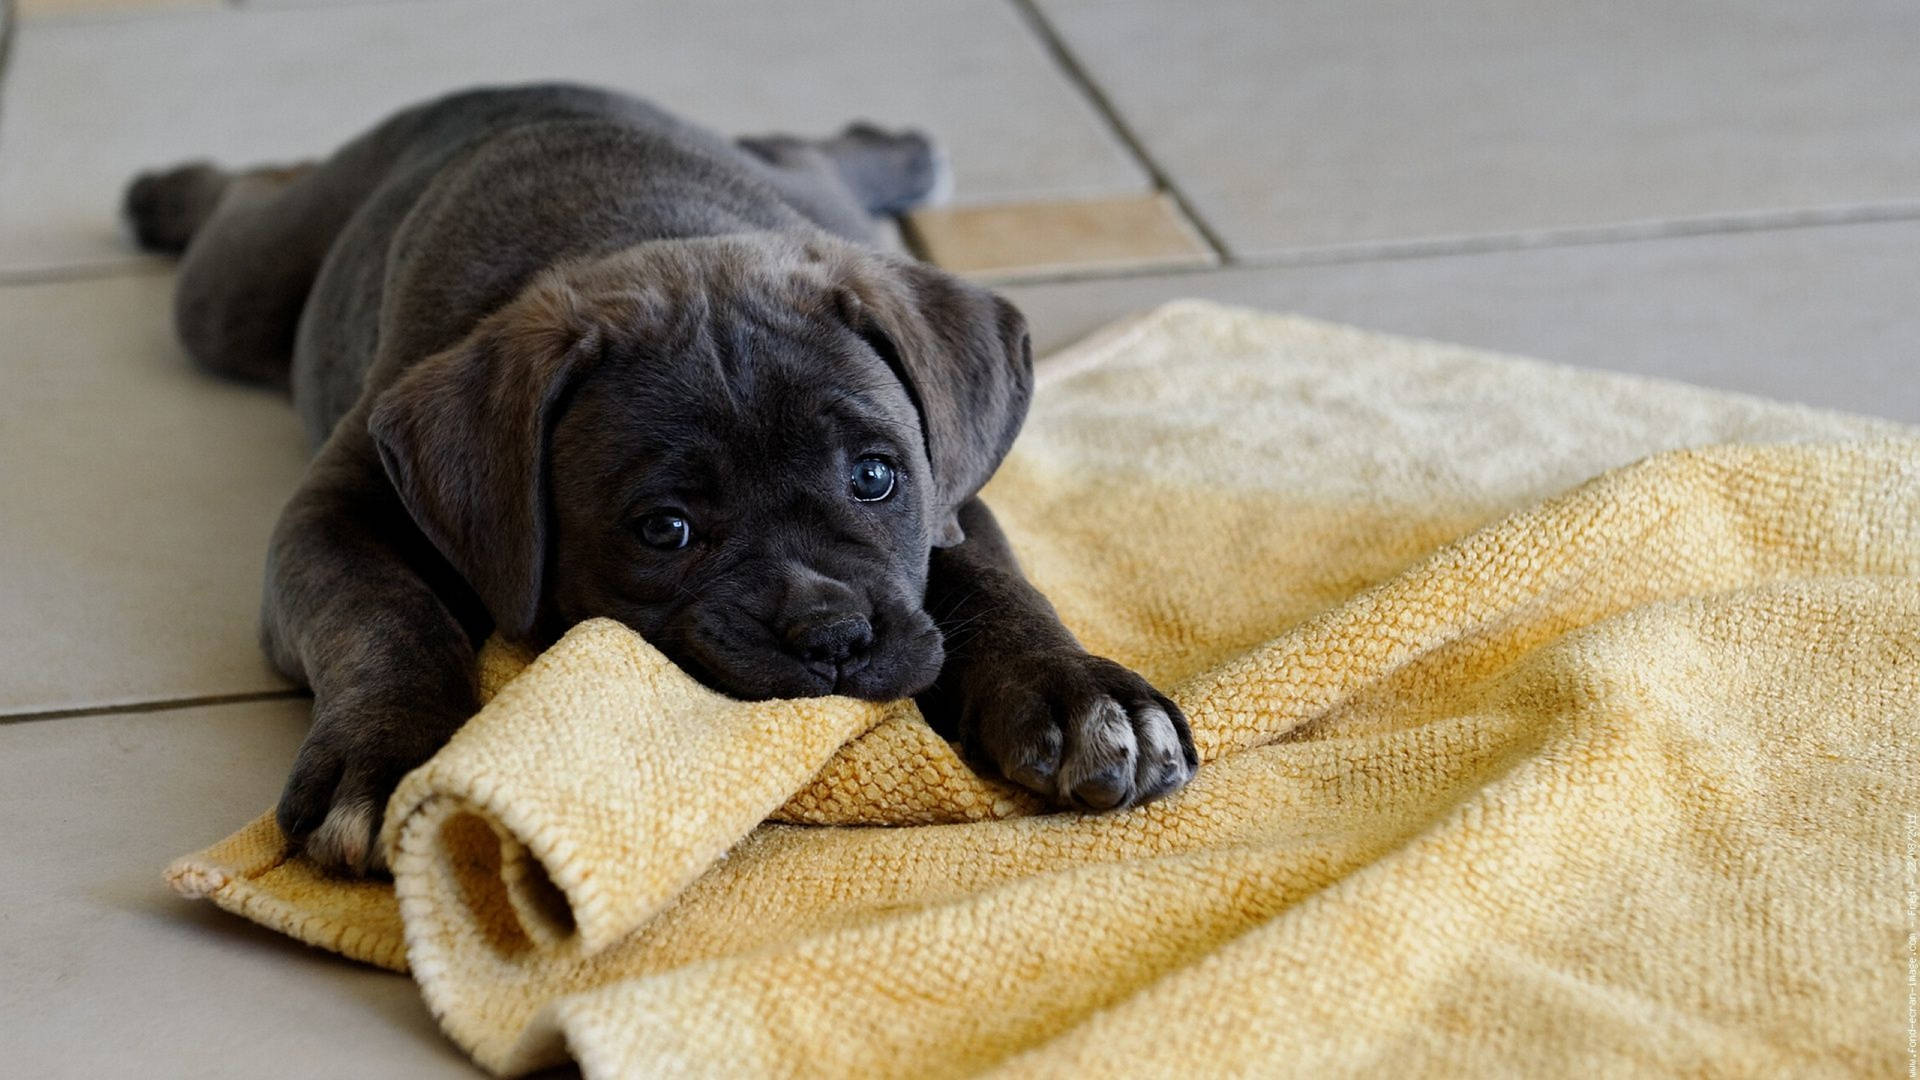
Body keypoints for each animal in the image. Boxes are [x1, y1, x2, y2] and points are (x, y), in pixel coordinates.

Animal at [123, 85, 1182, 876]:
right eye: (663, 530)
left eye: (877, 477)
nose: (834, 638)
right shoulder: (333, 517)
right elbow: (387, 617)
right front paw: (396, 754)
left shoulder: (951, 504)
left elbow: (998, 586)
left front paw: (1083, 697)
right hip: (235, 295)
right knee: (246, 203)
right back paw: (174, 190)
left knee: (801, 149)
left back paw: (896, 149)